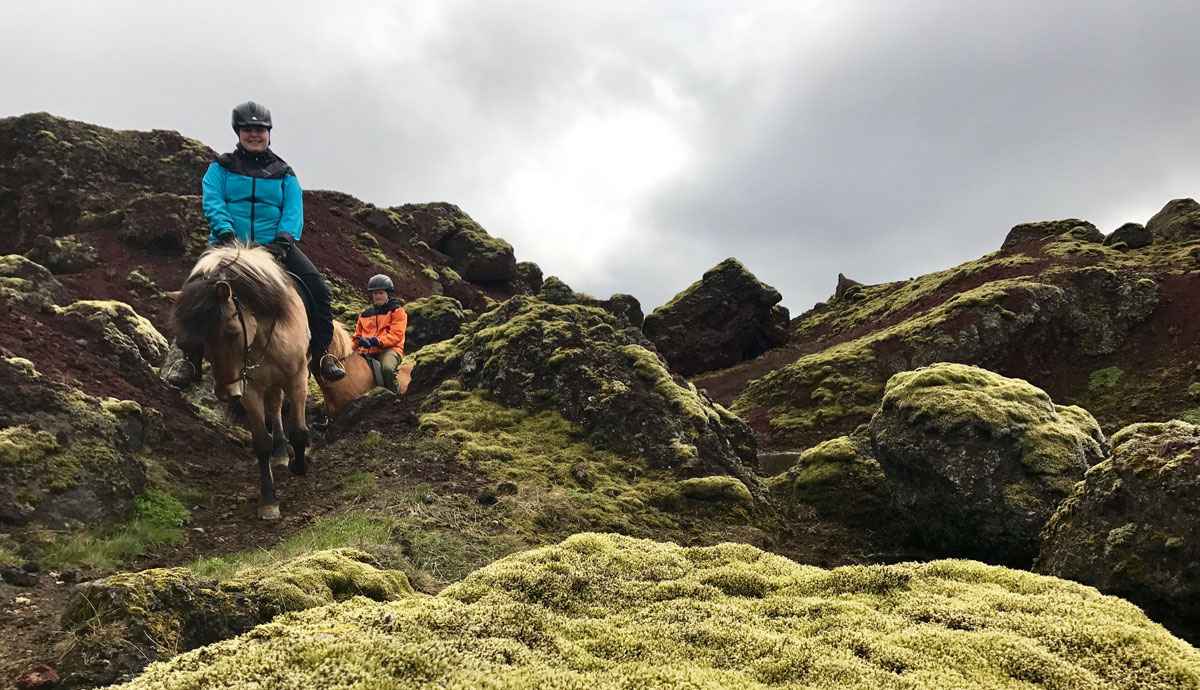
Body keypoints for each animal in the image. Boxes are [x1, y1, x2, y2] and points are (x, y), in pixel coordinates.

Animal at [175, 246, 314, 520]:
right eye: (199, 337)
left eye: (233, 333)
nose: (226, 392)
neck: (261, 339)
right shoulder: (249, 388)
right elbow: (261, 443)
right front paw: (268, 500)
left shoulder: (297, 376)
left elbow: (299, 431)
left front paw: (300, 465)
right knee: (275, 404)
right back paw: (279, 453)